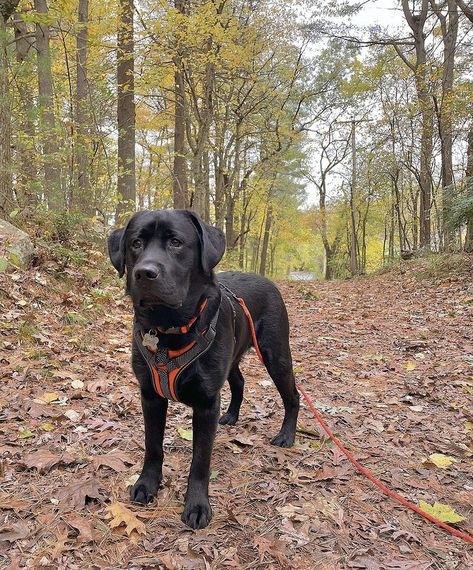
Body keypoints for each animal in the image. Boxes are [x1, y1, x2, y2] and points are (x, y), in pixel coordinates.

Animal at [108, 210, 298, 528]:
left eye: (176, 242)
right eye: (136, 243)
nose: (144, 273)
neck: (169, 328)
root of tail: (268, 280)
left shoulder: (206, 402)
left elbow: (200, 460)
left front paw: (197, 505)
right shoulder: (150, 395)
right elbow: (152, 446)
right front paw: (147, 484)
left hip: (276, 355)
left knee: (292, 396)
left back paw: (287, 435)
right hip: (231, 358)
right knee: (239, 382)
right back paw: (232, 415)